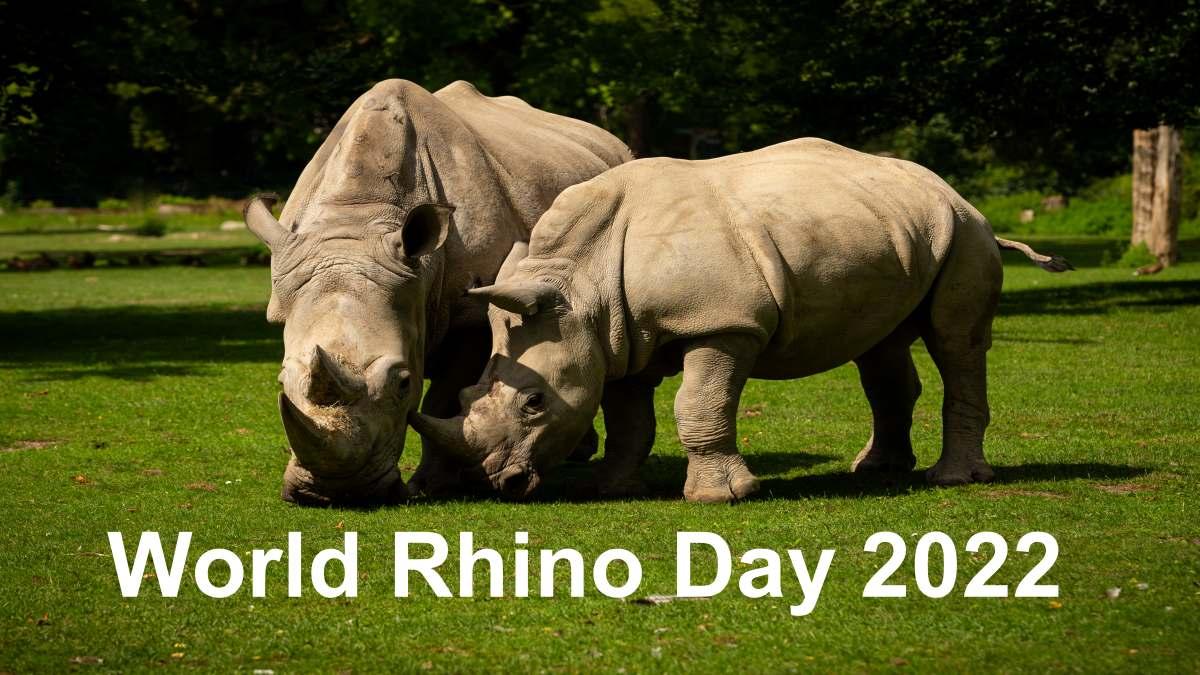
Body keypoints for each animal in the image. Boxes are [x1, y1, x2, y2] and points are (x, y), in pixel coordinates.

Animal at [242, 79, 631, 505]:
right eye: (282, 383)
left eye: (403, 383)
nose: (336, 492)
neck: (357, 220)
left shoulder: (470, 316)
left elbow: (441, 401)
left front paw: (429, 485)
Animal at [409, 138, 1072, 502]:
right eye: (464, 396)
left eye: (534, 403)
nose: (502, 483)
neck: (580, 283)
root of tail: (958, 195)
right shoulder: (615, 338)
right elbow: (628, 418)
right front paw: (611, 489)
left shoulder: (723, 323)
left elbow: (698, 404)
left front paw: (719, 498)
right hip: (898, 229)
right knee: (880, 349)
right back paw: (877, 471)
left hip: (965, 234)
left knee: (957, 342)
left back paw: (952, 480)